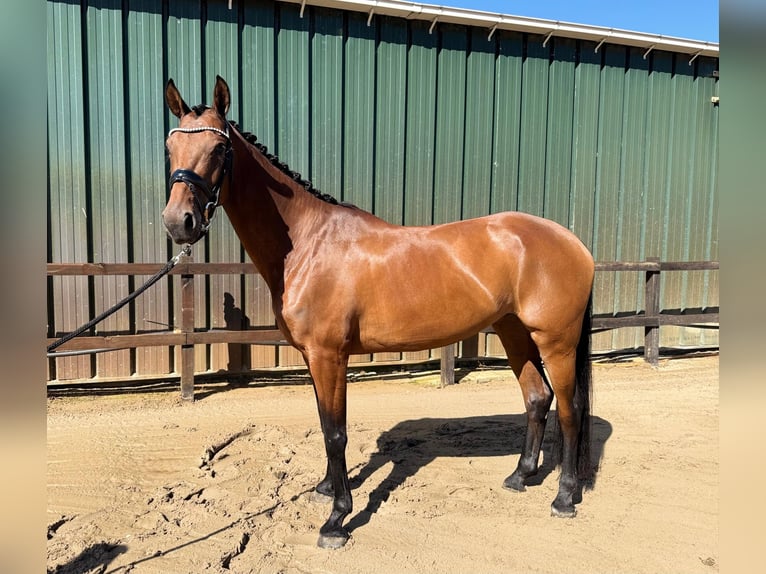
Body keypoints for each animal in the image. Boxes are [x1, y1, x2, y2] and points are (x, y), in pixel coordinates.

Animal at [162, 76, 595, 549]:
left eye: (220, 149)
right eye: (170, 147)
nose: (178, 222)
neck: (309, 243)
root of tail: (573, 242)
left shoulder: (329, 356)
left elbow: (335, 432)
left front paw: (336, 519)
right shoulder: (313, 358)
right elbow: (326, 423)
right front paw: (326, 489)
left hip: (556, 341)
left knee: (570, 409)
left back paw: (564, 498)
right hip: (513, 331)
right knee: (537, 397)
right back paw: (520, 476)